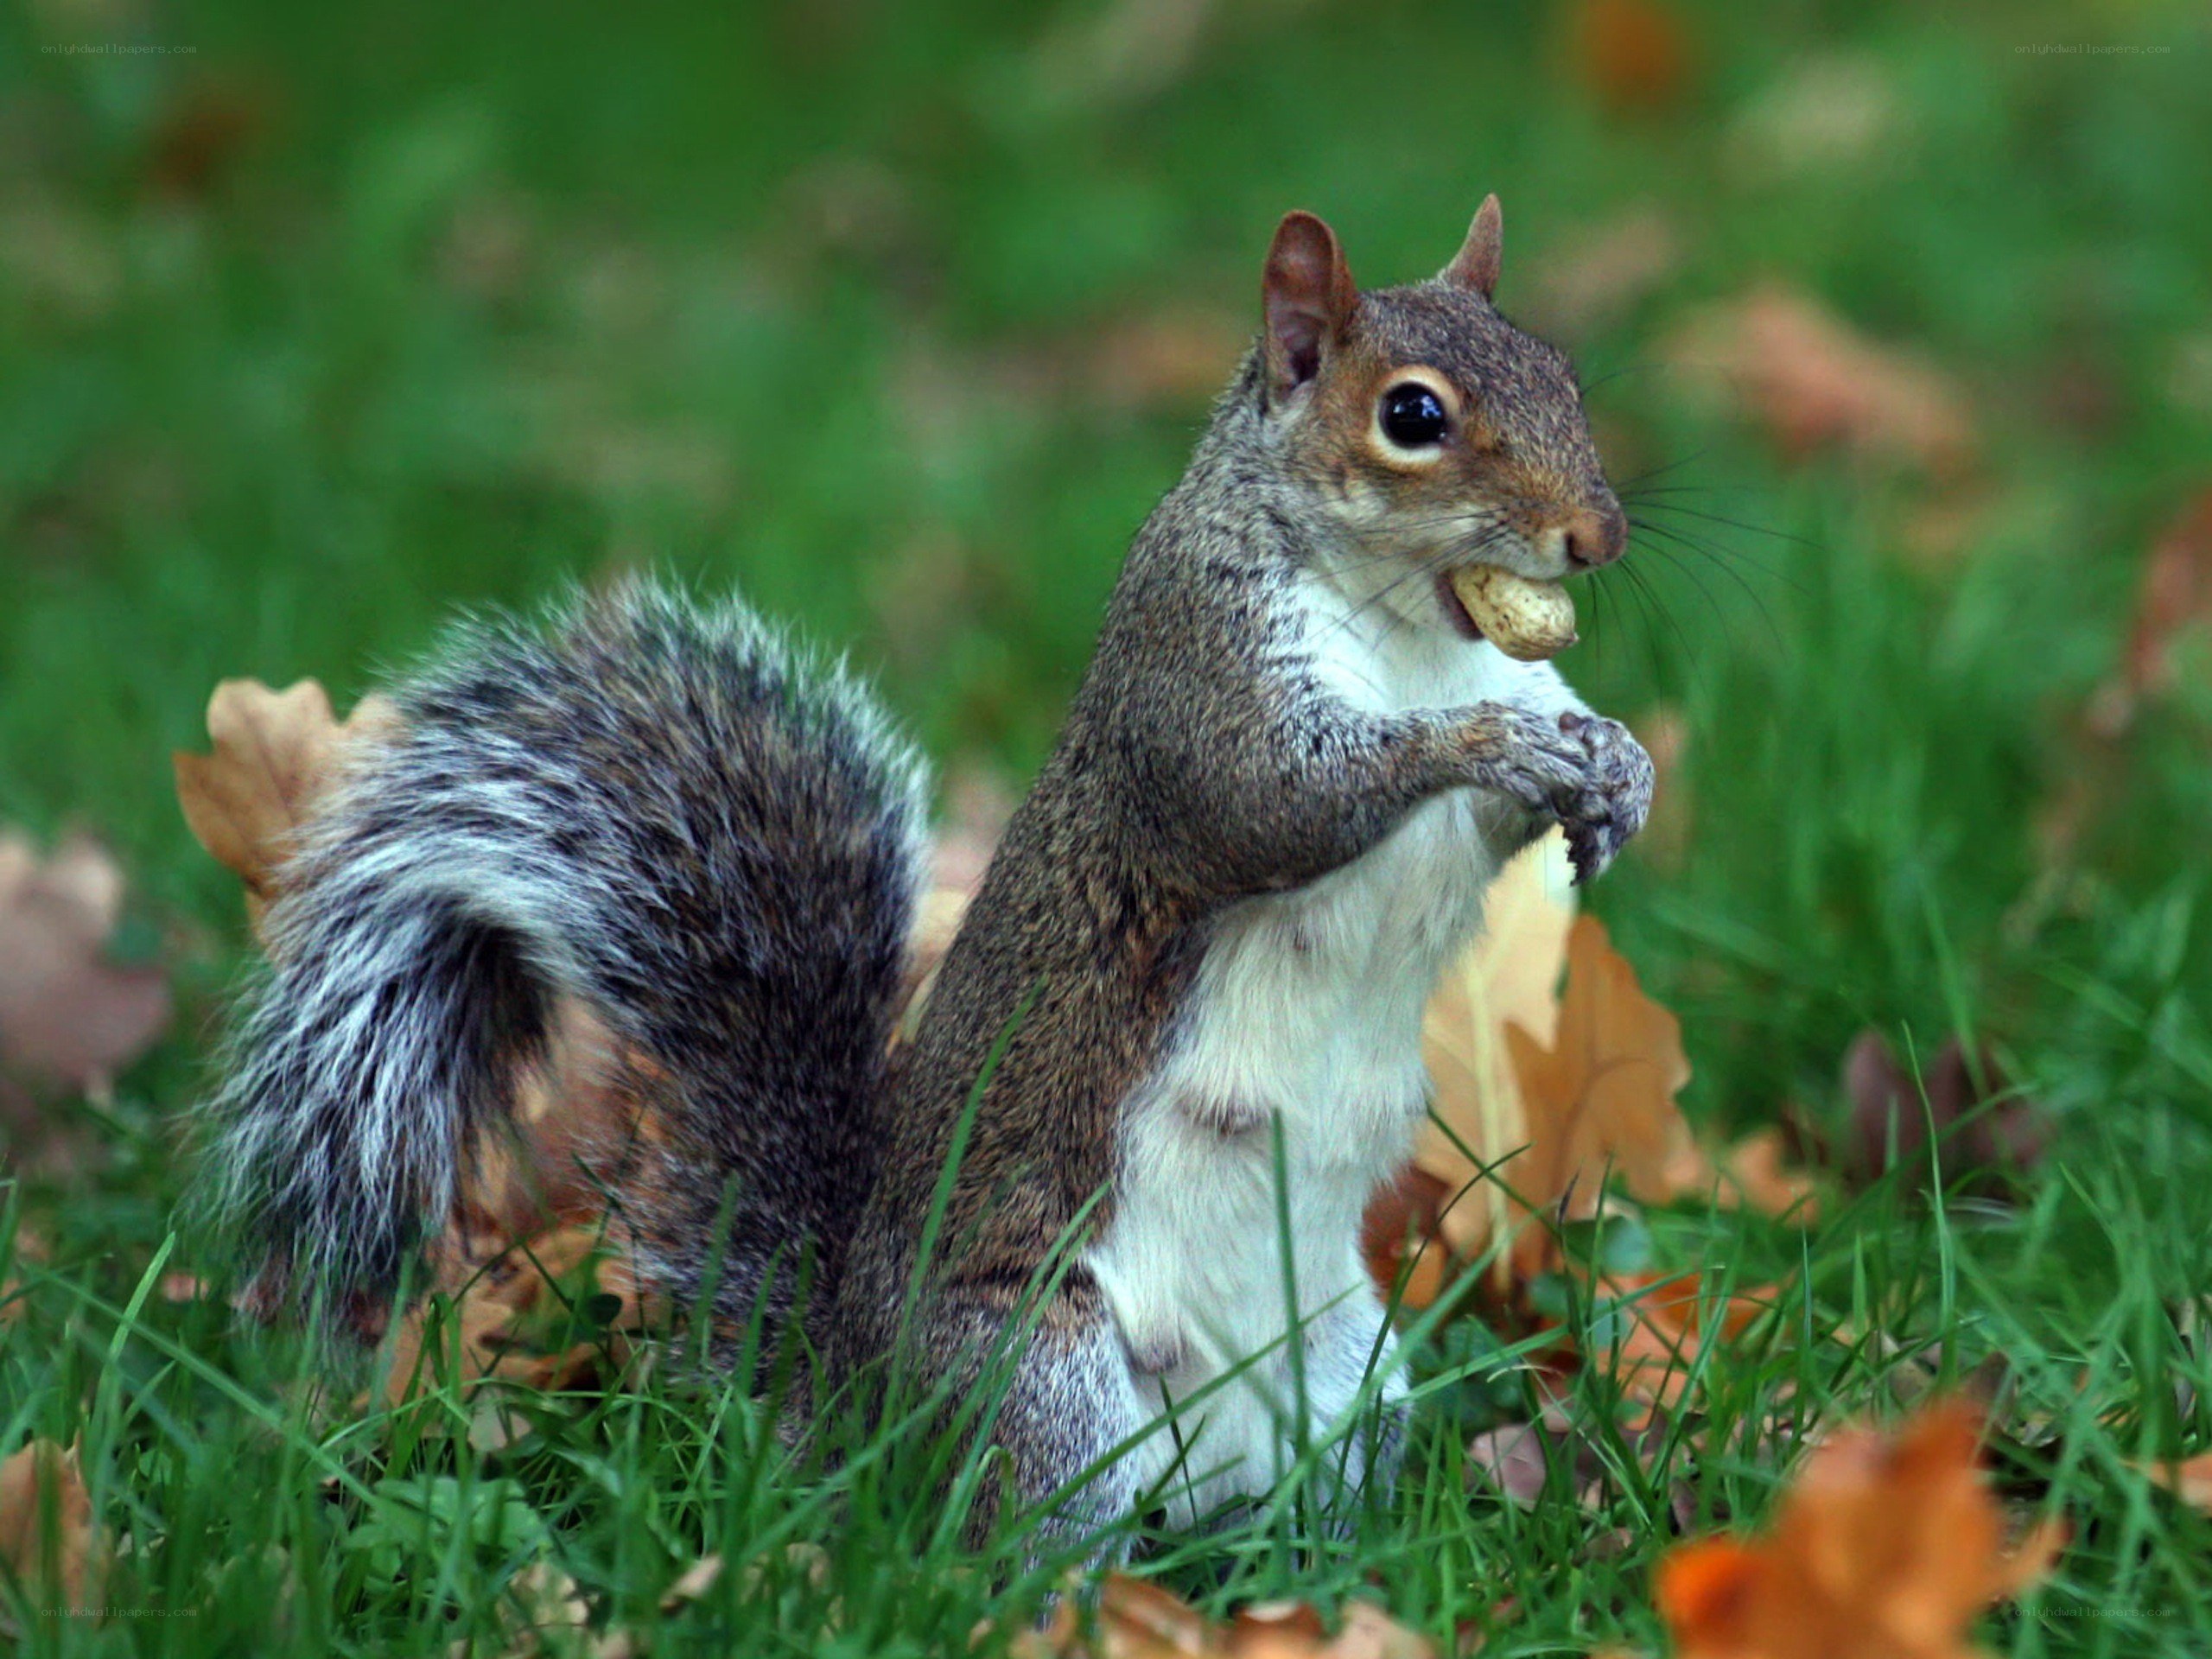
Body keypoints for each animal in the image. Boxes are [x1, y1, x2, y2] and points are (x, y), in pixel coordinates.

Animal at [204, 198, 1652, 1544]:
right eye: (1413, 415)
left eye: (1564, 373)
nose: (1599, 538)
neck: (1418, 625)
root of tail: (853, 1408)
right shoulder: (1192, 677)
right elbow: (1275, 801)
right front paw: (1492, 742)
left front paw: (1616, 769)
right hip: (1040, 1379)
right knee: (1020, 1548)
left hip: (1349, 1372)